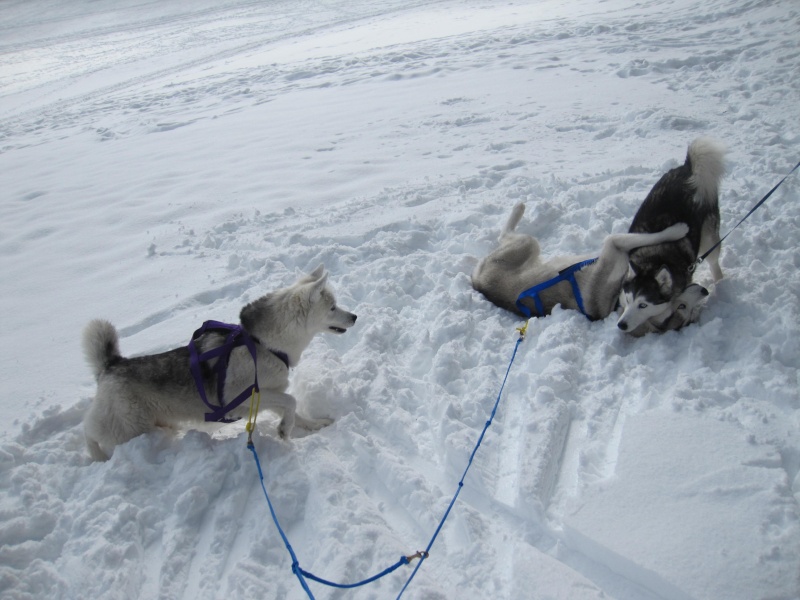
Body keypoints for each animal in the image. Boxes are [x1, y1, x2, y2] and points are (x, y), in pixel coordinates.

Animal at [83, 266, 354, 460]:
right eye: (332, 307)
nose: (354, 316)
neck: (263, 344)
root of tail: (111, 365)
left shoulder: (268, 394)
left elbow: (294, 410)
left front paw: (312, 425)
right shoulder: (244, 396)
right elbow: (291, 401)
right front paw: (285, 431)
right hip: (123, 429)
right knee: (88, 432)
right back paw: (97, 456)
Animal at [472, 202, 692, 324]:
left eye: (644, 306)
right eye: (636, 303)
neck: (615, 300)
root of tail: (477, 282)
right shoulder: (613, 244)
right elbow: (645, 237)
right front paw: (677, 230)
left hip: (525, 246)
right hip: (527, 244)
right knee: (504, 234)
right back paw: (519, 207)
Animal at [620, 138, 724, 330]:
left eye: (643, 305)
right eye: (629, 299)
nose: (621, 325)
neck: (652, 261)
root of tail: (687, 168)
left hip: (709, 236)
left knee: (714, 262)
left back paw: (721, 284)